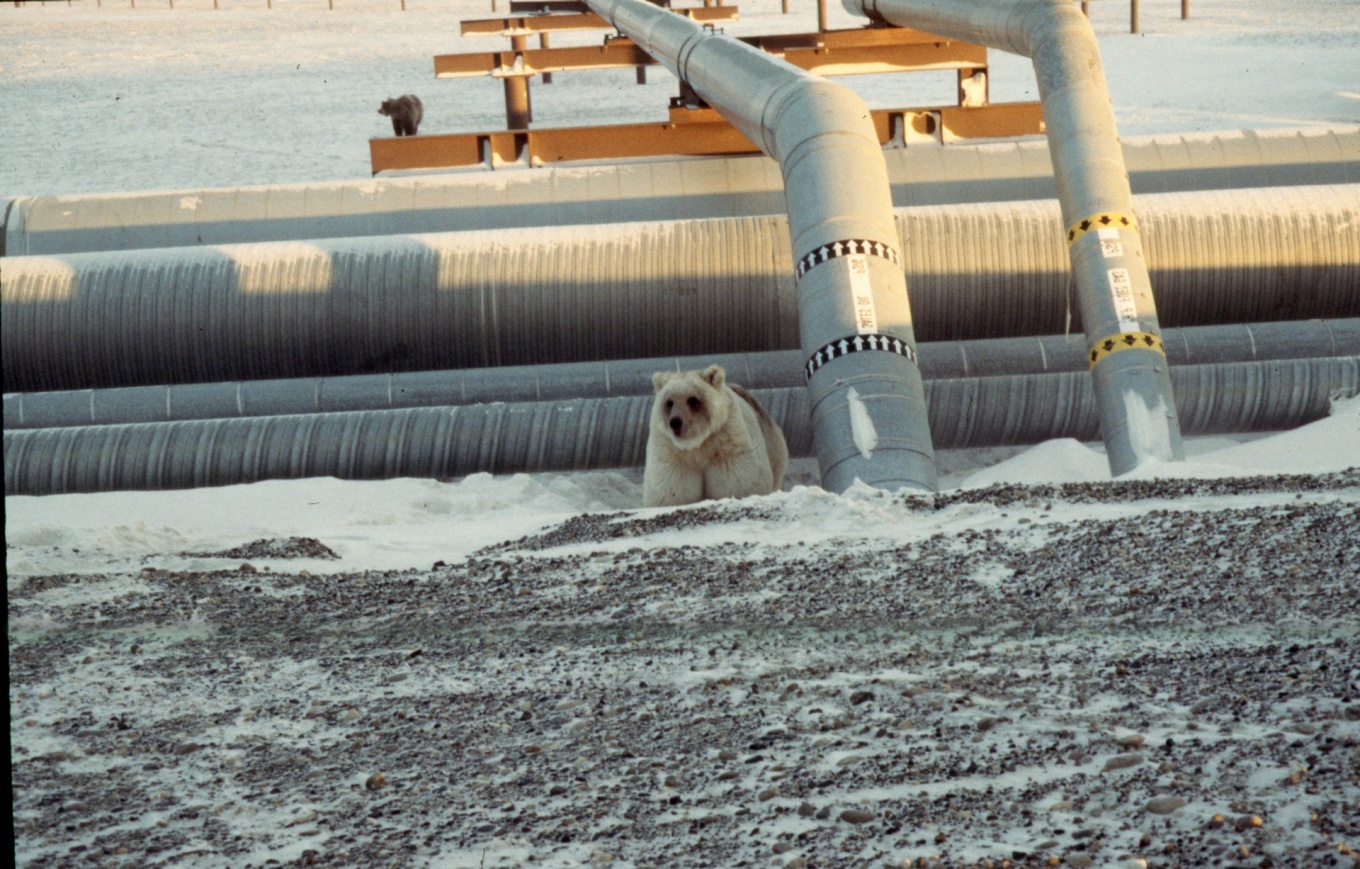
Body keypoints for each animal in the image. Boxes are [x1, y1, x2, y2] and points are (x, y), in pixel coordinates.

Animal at [643, 365, 789, 508]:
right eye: (669, 402)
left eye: (692, 399)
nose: (675, 422)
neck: (697, 444)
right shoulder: (671, 452)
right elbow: (671, 490)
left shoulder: (728, 443)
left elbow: (739, 483)